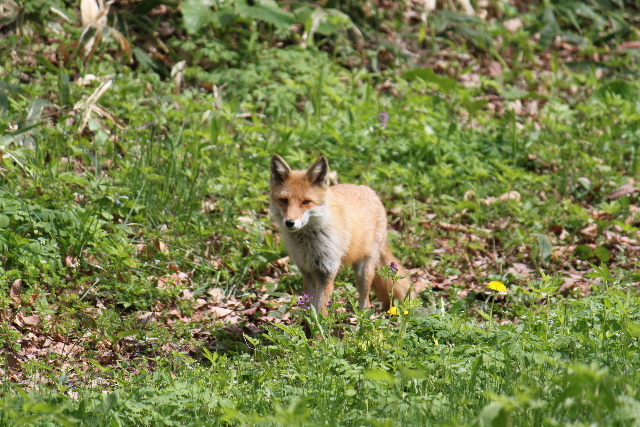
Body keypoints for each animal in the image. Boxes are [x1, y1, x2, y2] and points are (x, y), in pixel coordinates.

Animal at [268, 154, 410, 314]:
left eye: (306, 202)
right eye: (284, 200)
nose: (289, 222)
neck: (309, 243)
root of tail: (369, 191)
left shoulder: (327, 272)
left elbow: (321, 311)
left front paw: (321, 321)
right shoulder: (307, 271)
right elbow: (310, 310)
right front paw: (308, 321)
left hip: (364, 271)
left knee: (366, 302)